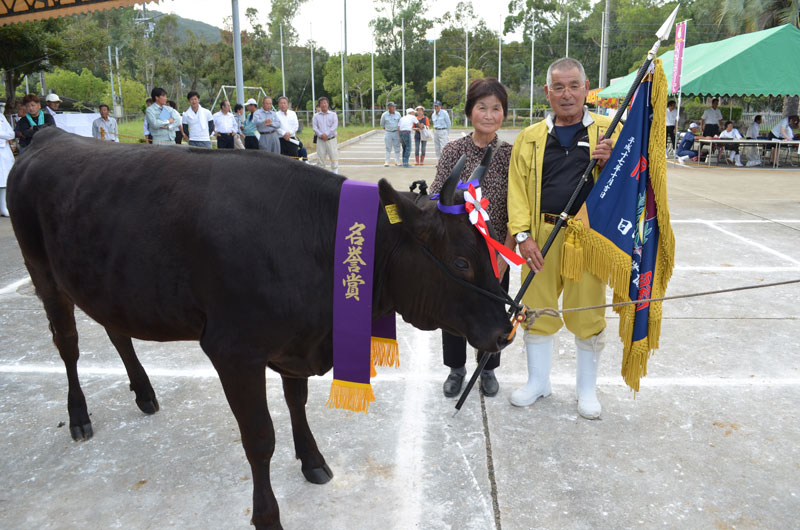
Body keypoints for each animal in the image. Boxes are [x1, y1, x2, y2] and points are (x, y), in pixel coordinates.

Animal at [7, 128, 512, 528]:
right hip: (43, 273)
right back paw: (79, 416)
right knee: (68, 345)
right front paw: (267, 516)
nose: (505, 330)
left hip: (110, 284)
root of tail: (50, 135)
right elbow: (260, 438)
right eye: (462, 262)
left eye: (490, 249)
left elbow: (297, 403)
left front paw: (313, 461)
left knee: (116, 331)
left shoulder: (295, 345)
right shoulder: (233, 351)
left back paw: (145, 393)